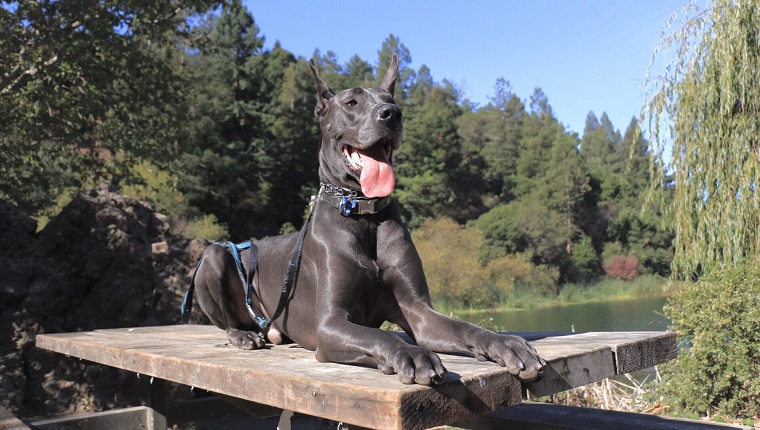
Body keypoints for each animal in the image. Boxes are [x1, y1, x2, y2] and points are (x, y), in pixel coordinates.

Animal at [190, 53, 548, 386]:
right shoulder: (330, 324)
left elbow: (464, 326)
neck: (363, 214)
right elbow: (382, 334)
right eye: (351, 102)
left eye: (393, 101)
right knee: (227, 317)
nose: (392, 114)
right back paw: (244, 335)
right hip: (214, 256)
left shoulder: (419, 312)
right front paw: (413, 354)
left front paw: (506, 344)